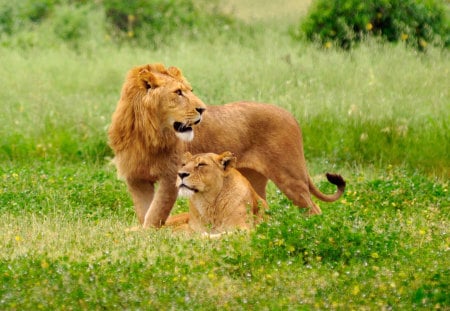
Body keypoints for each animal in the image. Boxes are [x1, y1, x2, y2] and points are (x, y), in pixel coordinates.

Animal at [107, 63, 346, 229]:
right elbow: (144, 212)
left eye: (190, 90)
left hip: (290, 176)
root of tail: (291, 116)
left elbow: (155, 214)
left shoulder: (169, 177)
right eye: (178, 92)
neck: (145, 133)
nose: (202, 109)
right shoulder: (136, 179)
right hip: (254, 179)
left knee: (314, 208)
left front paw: (149, 236)